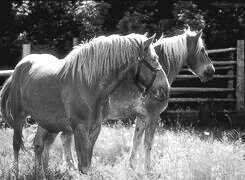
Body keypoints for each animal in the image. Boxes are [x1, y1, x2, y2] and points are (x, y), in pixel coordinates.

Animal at [0, 33, 170, 179]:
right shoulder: (79, 129)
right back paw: (15, 173)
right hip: (19, 118)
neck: (89, 84)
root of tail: (20, 66)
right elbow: (83, 166)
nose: (165, 89)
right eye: (154, 59)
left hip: (45, 122)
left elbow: (87, 163)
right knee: (16, 145)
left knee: (38, 145)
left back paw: (40, 175)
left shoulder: (95, 129)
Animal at [58, 26, 213, 171]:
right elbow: (148, 143)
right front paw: (148, 169)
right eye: (203, 49)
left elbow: (136, 140)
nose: (211, 71)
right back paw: (71, 165)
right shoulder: (153, 116)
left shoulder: (142, 116)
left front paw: (132, 166)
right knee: (66, 138)